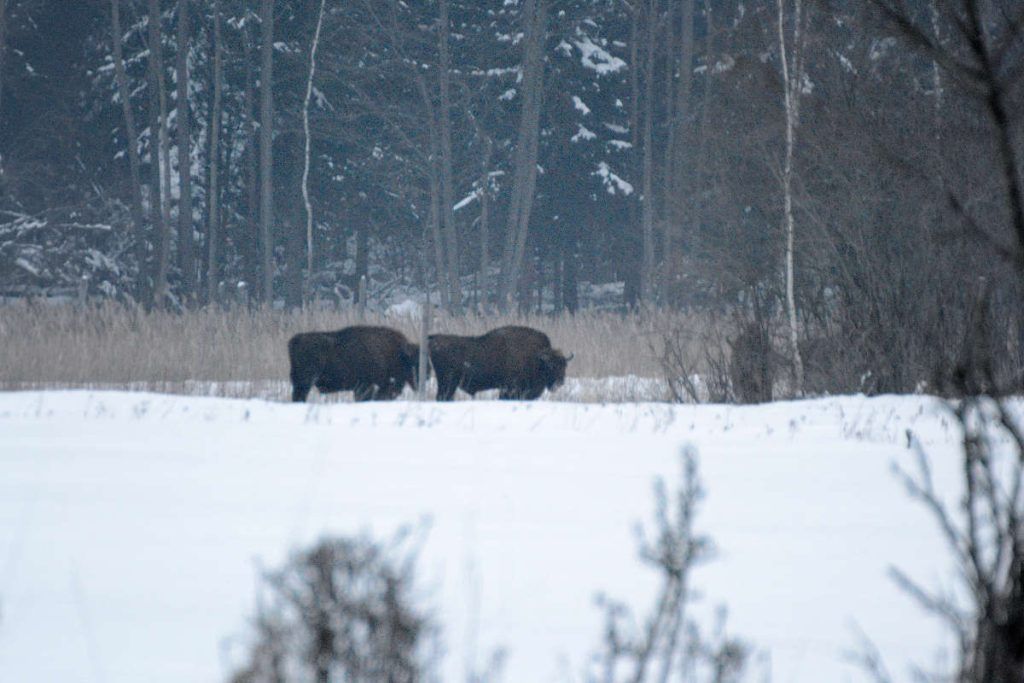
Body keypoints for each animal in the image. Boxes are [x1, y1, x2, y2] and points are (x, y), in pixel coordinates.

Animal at [429, 325, 572, 401]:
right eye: (551, 365)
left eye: (564, 365)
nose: (560, 382)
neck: (536, 357)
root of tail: (434, 338)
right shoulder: (509, 390)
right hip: (448, 383)